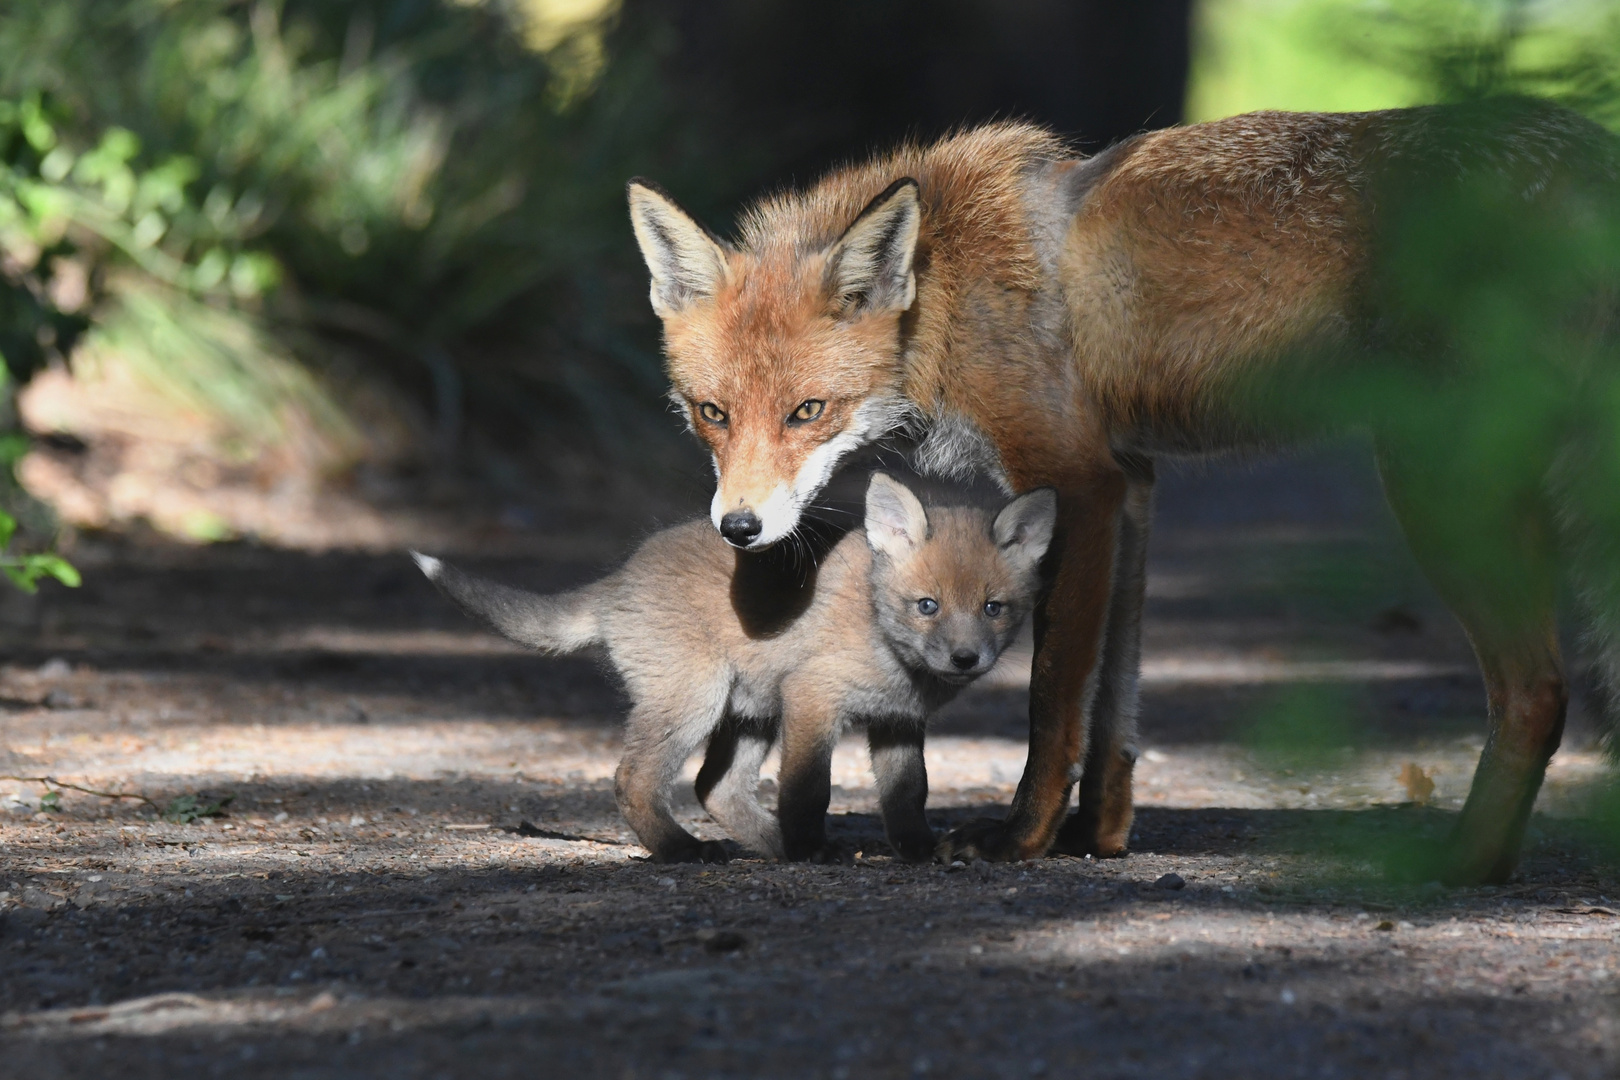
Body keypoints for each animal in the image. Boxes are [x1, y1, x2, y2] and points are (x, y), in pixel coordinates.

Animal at [622, 97, 1620, 880]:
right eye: (711, 413)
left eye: (809, 410)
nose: (740, 527)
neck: (944, 293)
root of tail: (1589, 153)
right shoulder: (1134, 483)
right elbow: (1115, 707)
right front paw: (1096, 838)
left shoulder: (1079, 481)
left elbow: (1054, 696)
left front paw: (1021, 839)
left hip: (1437, 478)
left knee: (1536, 693)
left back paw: (1458, 868)